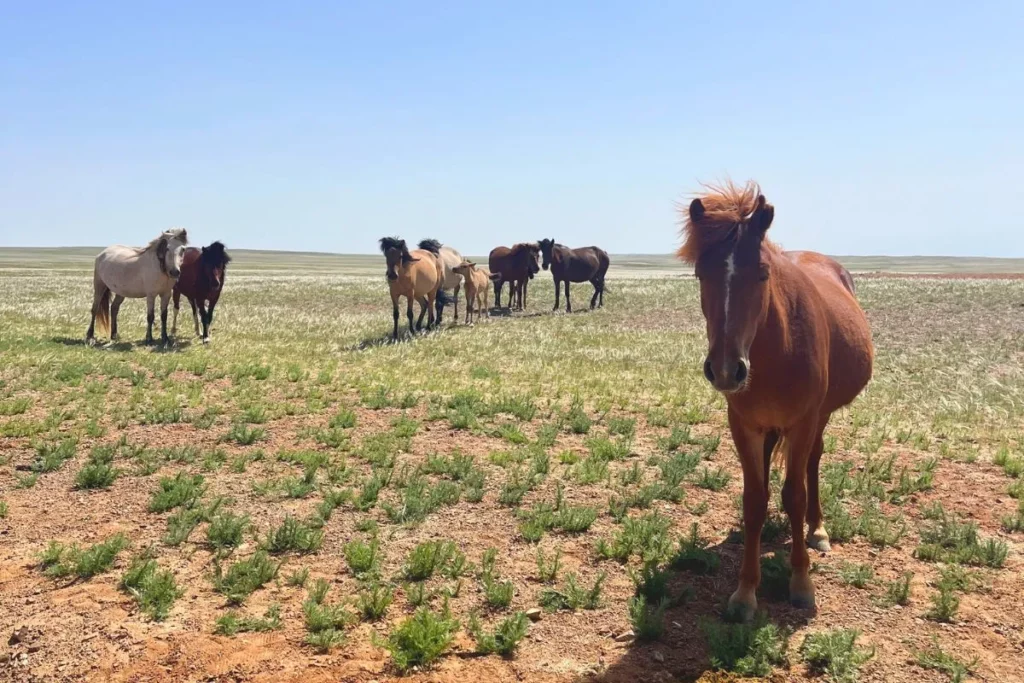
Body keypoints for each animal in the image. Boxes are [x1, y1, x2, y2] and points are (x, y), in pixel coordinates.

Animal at [677, 181, 873, 621]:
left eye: (762, 272)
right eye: (700, 273)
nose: (726, 369)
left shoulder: (803, 422)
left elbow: (794, 496)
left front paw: (801, 582)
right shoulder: (743, 424)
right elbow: (754, 499)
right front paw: (746, 591)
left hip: (820, 417)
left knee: (813, 463)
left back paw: (818, 529)